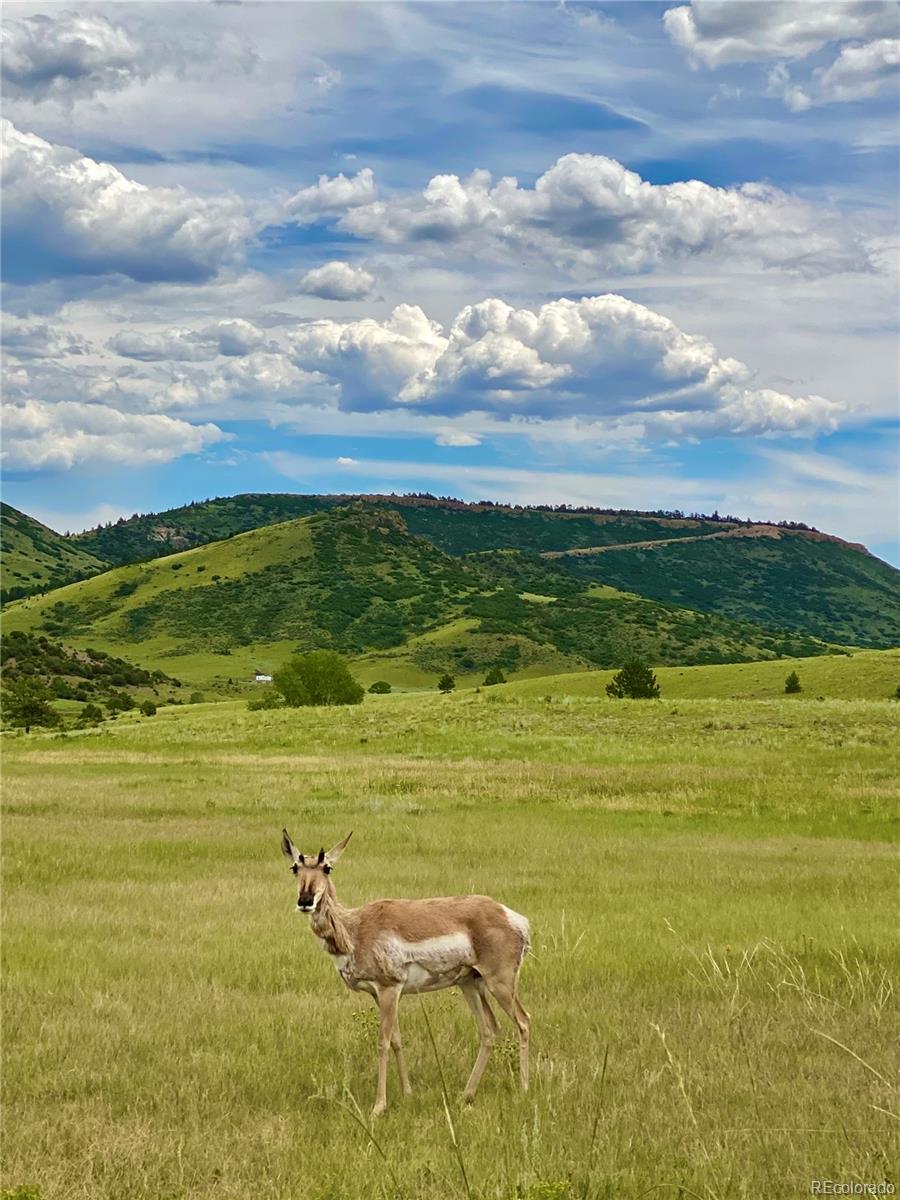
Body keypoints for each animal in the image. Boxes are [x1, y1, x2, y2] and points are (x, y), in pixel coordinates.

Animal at [281, 829, 531, 1116]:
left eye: (327, 867)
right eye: (295, 867)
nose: (305, 901)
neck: (355, 928)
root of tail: (512, 917)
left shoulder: (389, 988)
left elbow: (382, 1042)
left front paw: (378, 1106)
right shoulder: (380, 994)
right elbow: (397, 1040)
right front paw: (407, 1093)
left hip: (500, 983)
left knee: (523, 1021)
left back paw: (523, 1089)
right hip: (470, 984)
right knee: (489, 1029)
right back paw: (465, 1095)